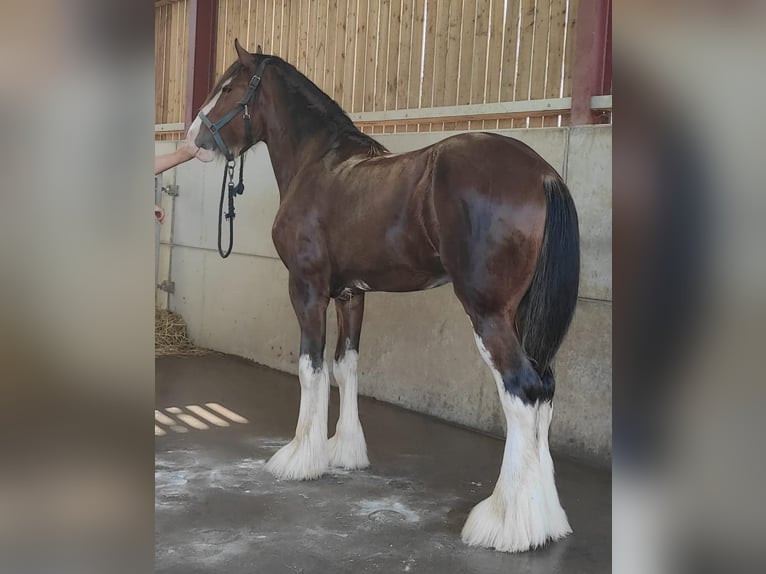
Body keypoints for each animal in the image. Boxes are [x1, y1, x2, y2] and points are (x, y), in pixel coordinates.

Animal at [188, 39, 584, 552]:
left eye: (228, 87)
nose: (194, 136)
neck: (319, 165)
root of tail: (542, 175)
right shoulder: (350, 295)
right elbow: (346, 365)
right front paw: (343, 451)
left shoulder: (307, 288)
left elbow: (311, 367)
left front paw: (298, 458)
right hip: (523, 315)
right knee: (545, 390)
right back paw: (546, 519)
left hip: (489, 313)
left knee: (523, 391)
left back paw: (505, 524)